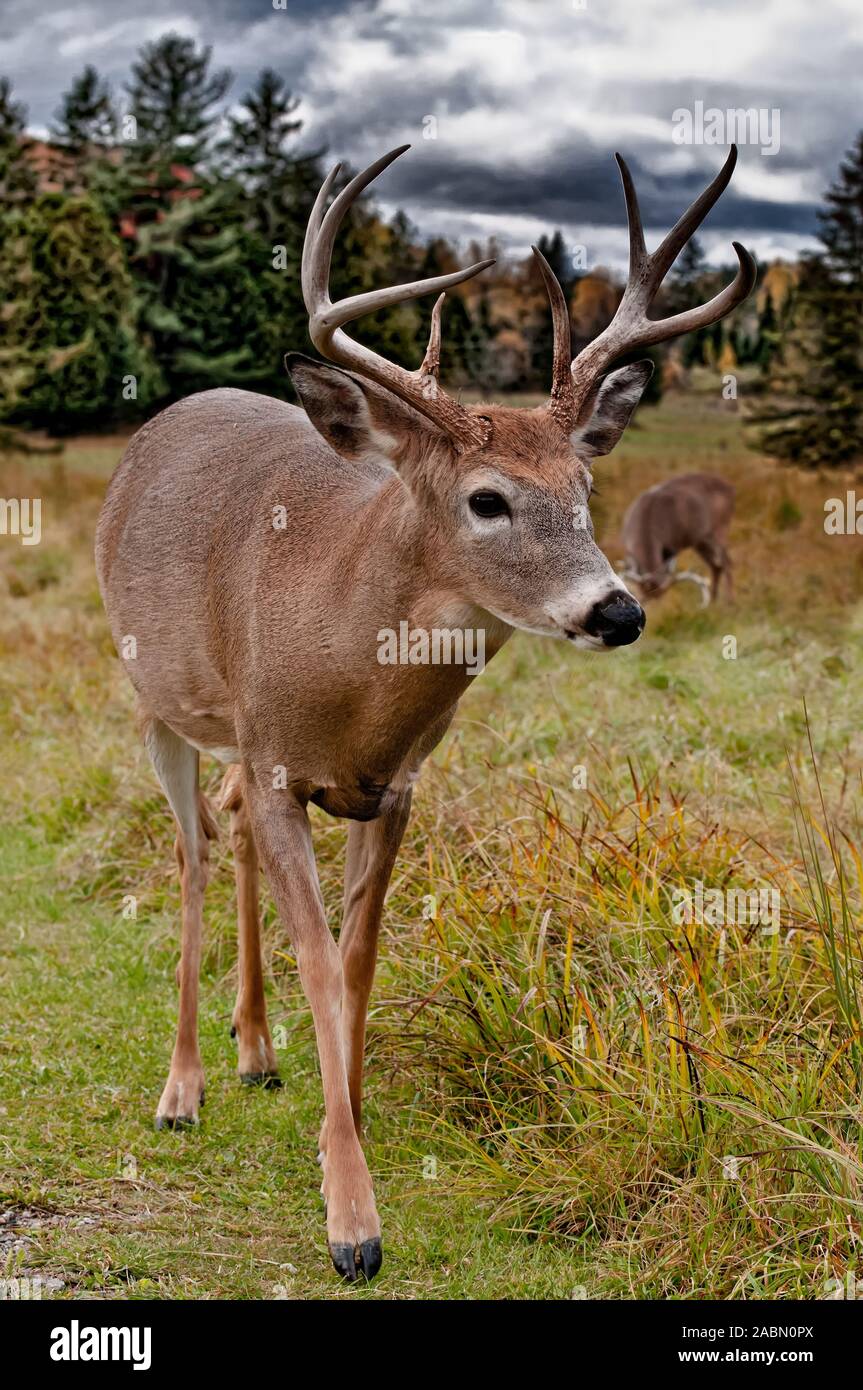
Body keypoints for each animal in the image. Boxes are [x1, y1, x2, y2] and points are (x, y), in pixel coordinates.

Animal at [619, 472, 733, 603]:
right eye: (641, 596)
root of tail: (731, 488)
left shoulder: (673, 545)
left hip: (721, 528)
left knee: (727, 562)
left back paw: (729, 602)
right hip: (701, 540)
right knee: (715, 565)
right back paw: (713, 601)